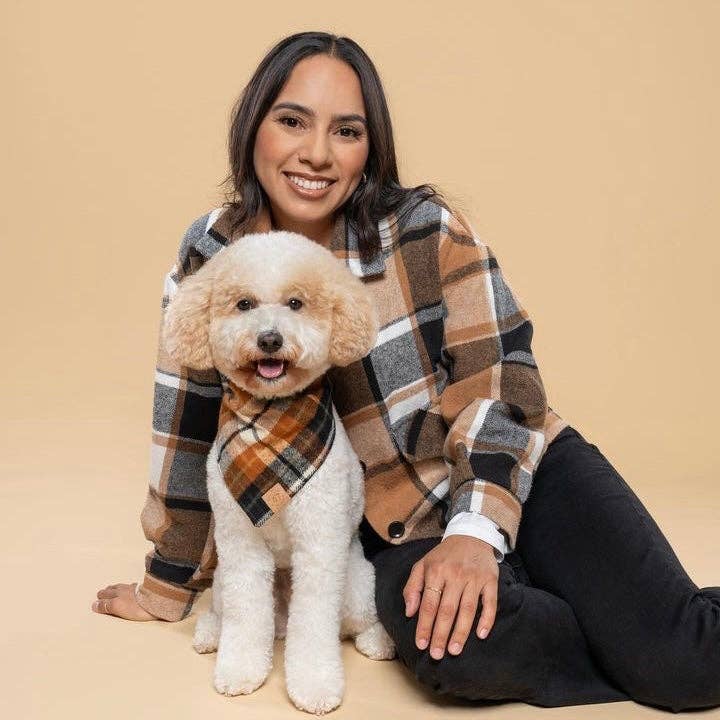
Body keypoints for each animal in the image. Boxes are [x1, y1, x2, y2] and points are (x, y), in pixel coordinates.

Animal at [161, 231, 396, 716]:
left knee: (354, 620)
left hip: (355, 584)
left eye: (295, 303)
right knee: (232, 613)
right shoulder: (240, 547)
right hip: (224, 580)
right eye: (244, 304)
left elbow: (316, 627)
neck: (270, 423)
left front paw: (314, 685)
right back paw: (211, 633)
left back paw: (378, 641)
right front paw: (239, 671)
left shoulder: (319, 548)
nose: (269, 339)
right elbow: (246, 617)